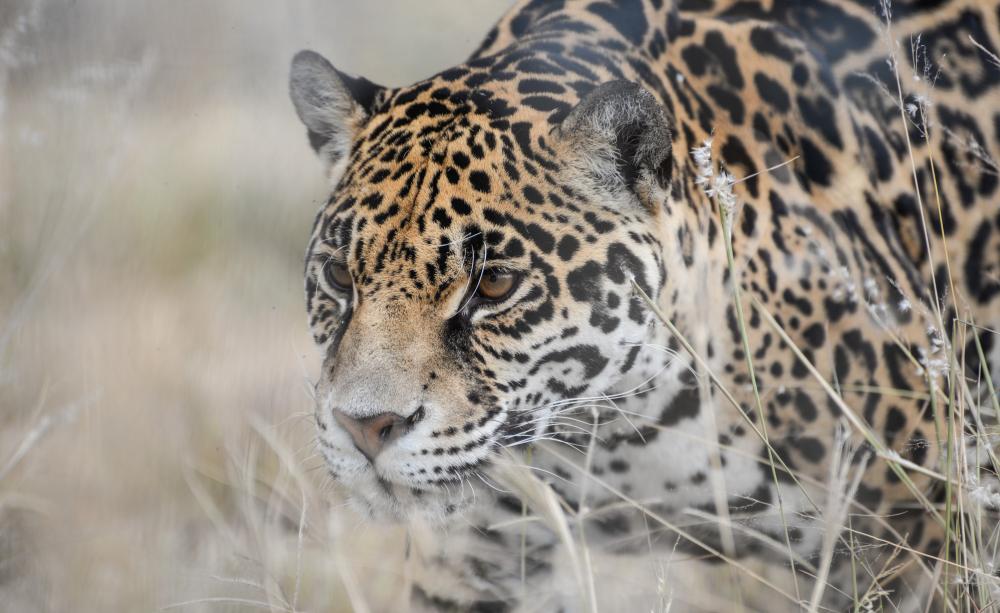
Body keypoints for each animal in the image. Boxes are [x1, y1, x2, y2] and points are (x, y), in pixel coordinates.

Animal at [286, 0, 1000, 610]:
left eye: (493, 286)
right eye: (339, 276)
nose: (365, 428)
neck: (614, 440)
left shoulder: (920, 540)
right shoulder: (476, 558)